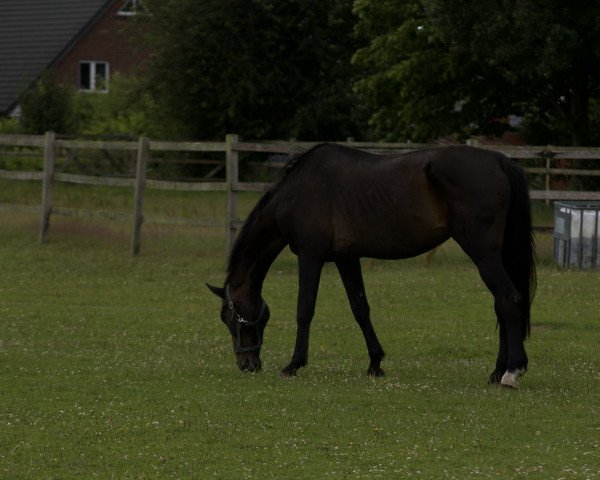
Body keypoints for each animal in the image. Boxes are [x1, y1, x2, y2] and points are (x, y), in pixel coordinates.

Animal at [209, 142, 536, 386]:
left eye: (227, 317)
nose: (247, 364)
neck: (297, 189)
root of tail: (499, 160)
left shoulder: (310, 256)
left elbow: (305, 309)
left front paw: (293, 364)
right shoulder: (346, 258)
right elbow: (360, 309)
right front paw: (375, 363)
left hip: (482, 252)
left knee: (508, 299)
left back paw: (512, 372)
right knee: (501, 303)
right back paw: (497, 371)